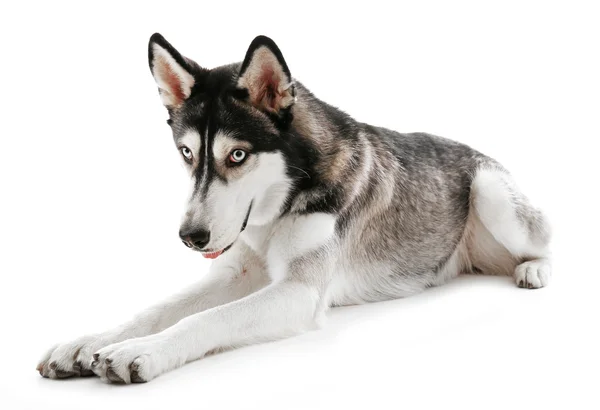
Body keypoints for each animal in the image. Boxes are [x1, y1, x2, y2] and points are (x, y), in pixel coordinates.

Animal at [37, 33, 552, 382]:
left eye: (237, 155)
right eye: (186, 153)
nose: (190, 237)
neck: (280, 206)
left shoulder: (298, 293)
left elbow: (205, 319)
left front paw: (141, 351)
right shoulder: (235, 272)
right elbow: (156, 309)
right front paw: (89, 341)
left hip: (490, 190)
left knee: (545, 241)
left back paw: (533, 269)